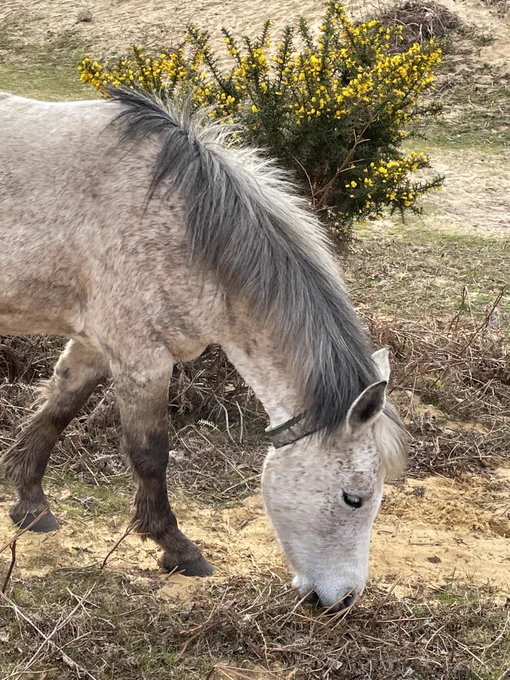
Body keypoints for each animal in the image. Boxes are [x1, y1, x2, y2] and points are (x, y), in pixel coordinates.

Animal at [0, 88, 406, 612]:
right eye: (353, 498)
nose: (345, 599)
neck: (180, 223)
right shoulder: (142, 359)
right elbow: (151, 454)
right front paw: (176, 547)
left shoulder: (95, 345)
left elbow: (58, 410)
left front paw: (31, 504)